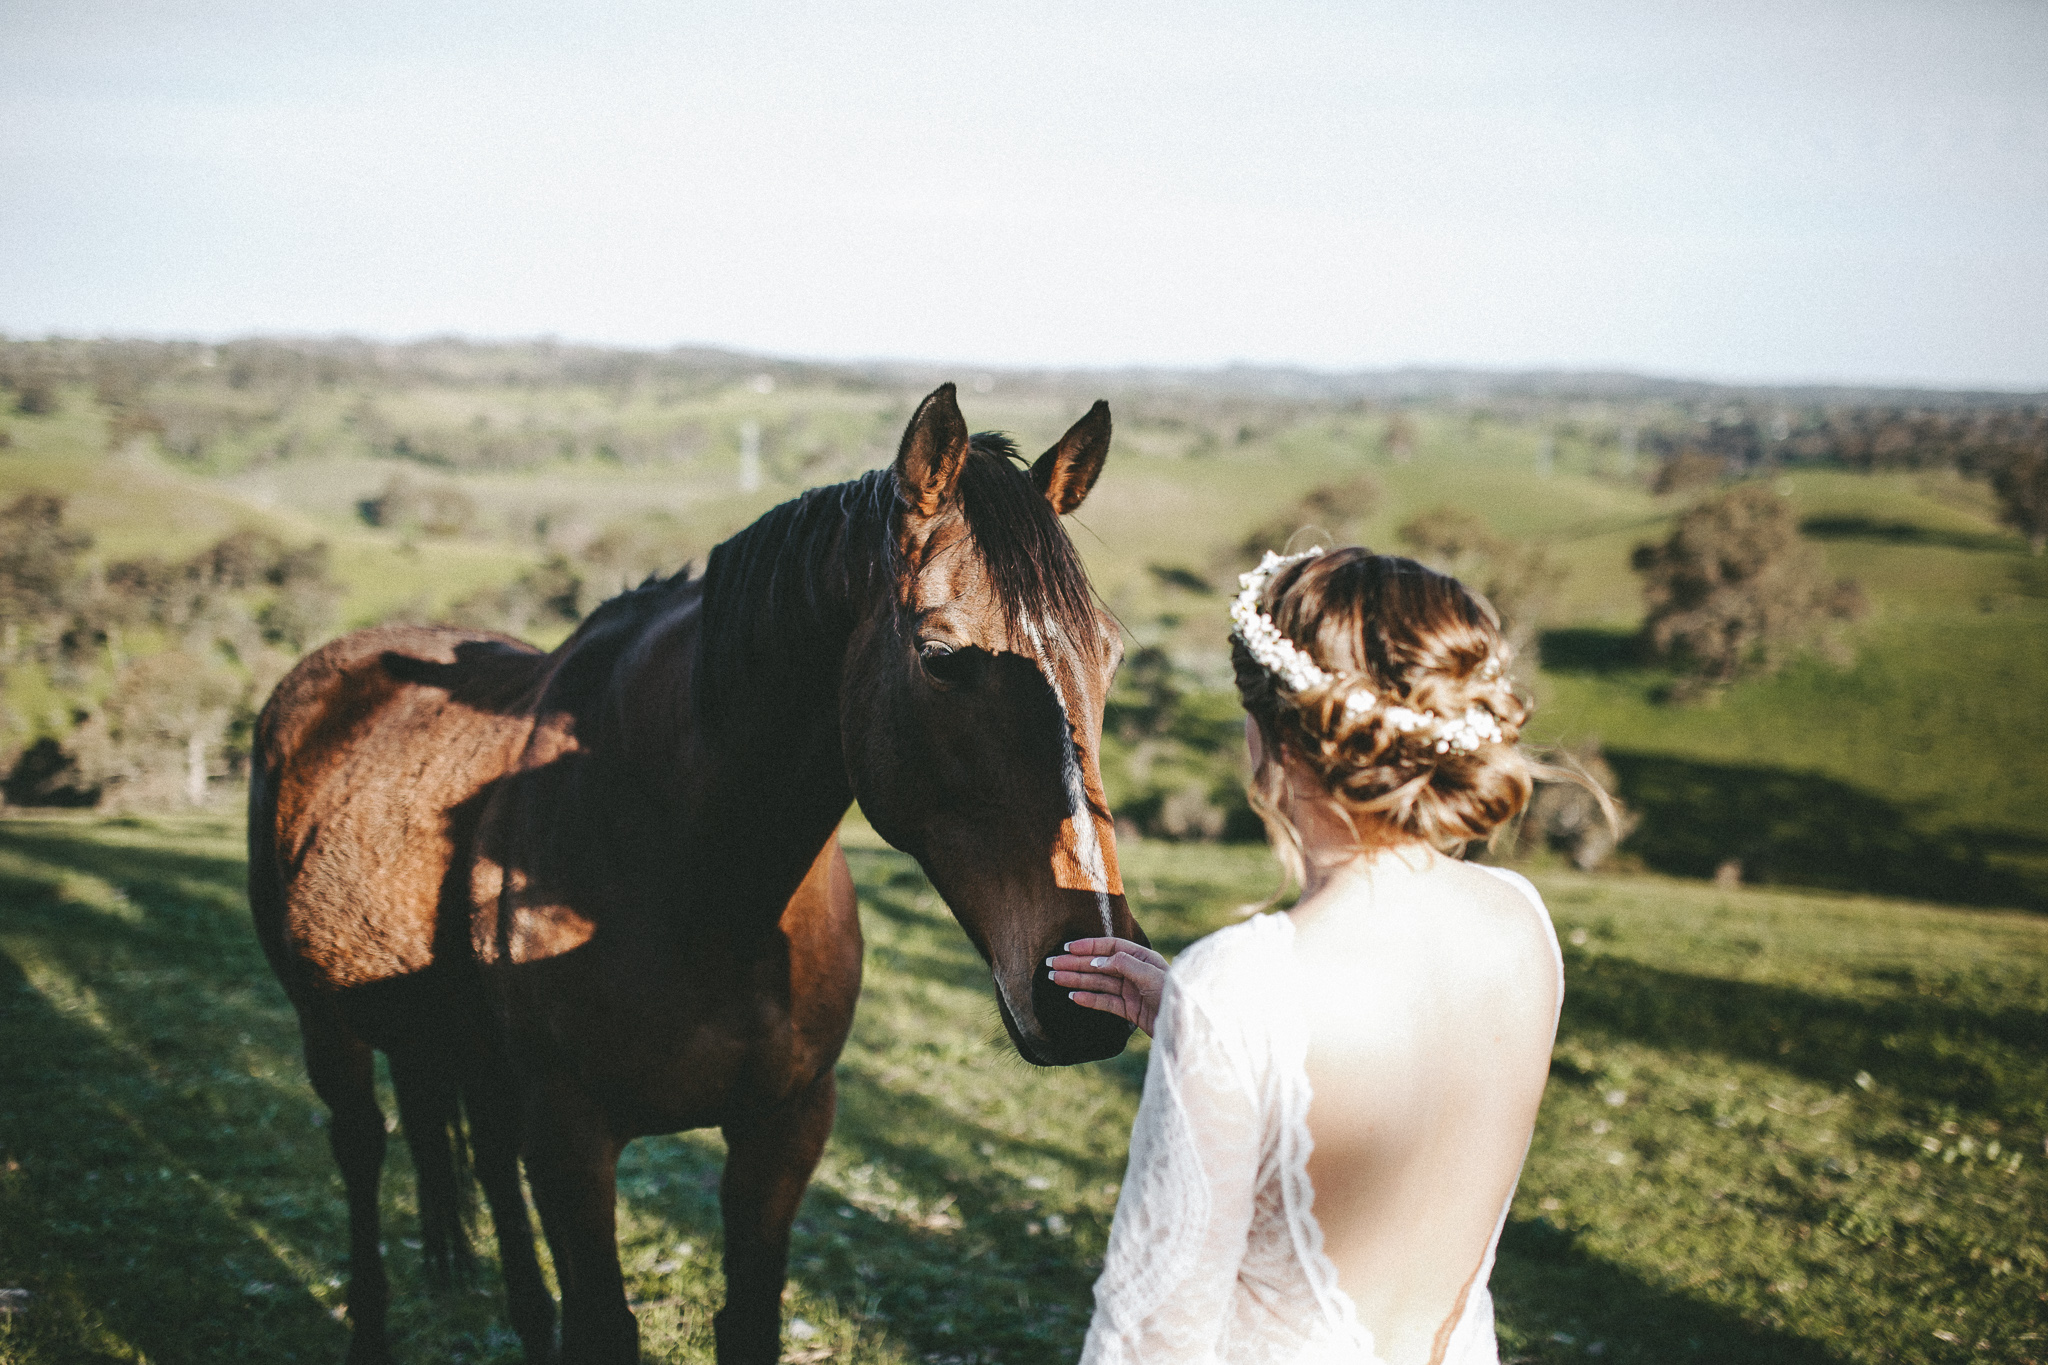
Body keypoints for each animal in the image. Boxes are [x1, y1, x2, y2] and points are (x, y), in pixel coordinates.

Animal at [245, 386, 1146, 1365]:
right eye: (944, 657)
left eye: (1109, 654)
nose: (1083, 987)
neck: (707, 889)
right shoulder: (569, 1136)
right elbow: (601, 1321)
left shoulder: (785, 1125)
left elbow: (746, 1315)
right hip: (329, 1027)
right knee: (362, 1152)